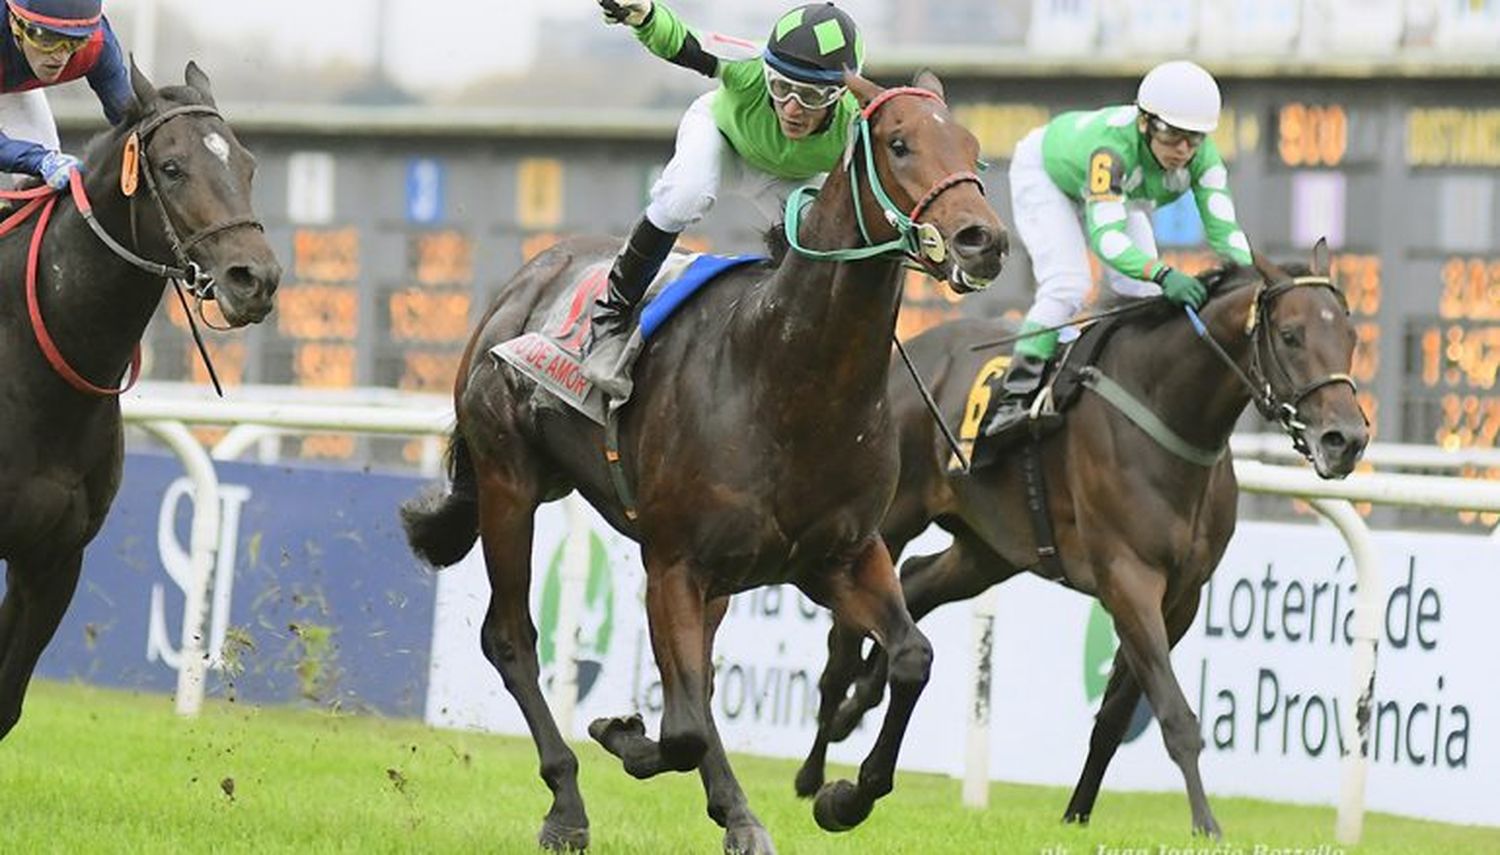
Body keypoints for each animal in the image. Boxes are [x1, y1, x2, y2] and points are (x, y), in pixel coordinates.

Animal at [798, 253, 1374, 834]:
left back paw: (858, 704)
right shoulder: (1129, 578)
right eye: (1291, 334)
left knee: (915, 584)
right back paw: (815, 769)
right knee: (842, 646)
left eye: (1351, 335)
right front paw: (1206, 825)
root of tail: (905, 357)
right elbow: (1174, 713)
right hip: (884, 525)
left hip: (988, 551)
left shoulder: (1182, 598)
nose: (1345, 440)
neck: (1167, 412)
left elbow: (1115, 719)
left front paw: (1077, 813)